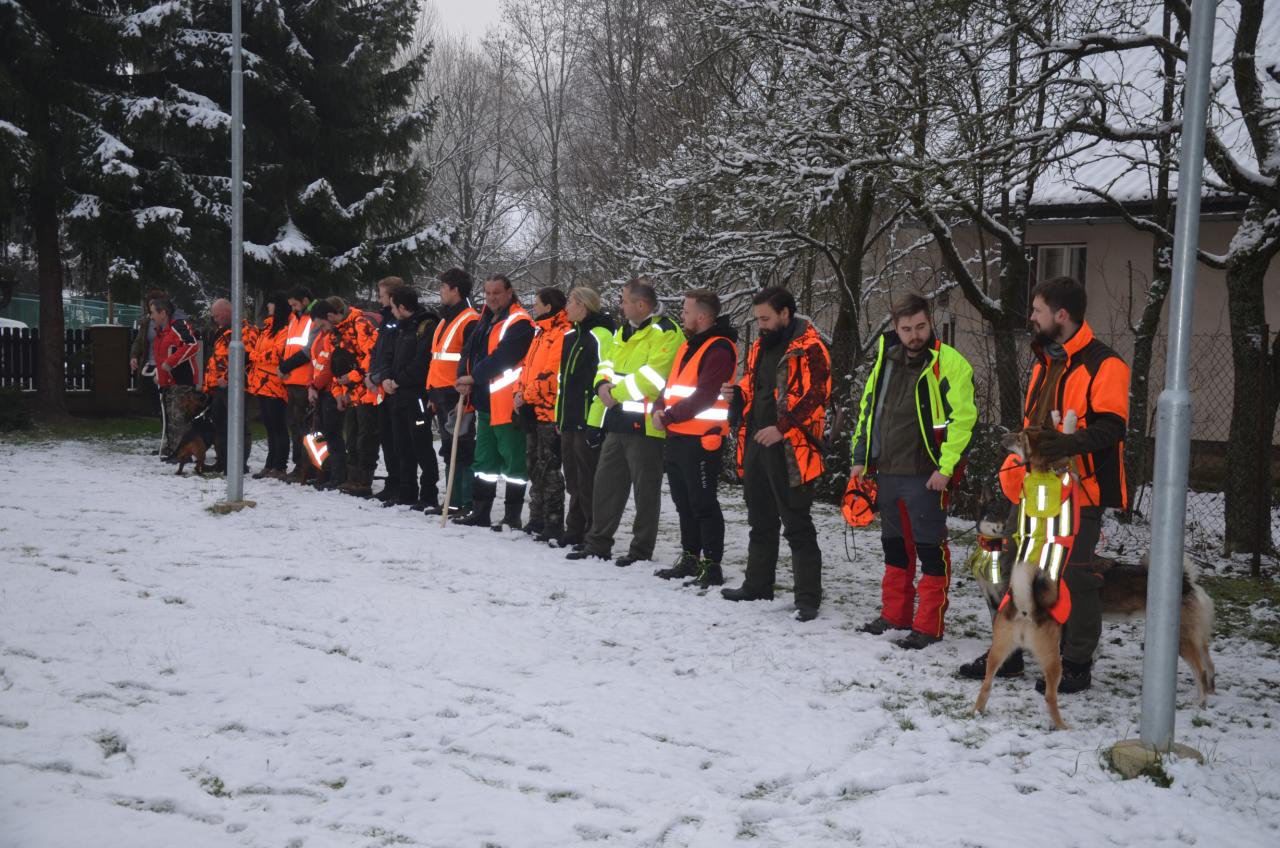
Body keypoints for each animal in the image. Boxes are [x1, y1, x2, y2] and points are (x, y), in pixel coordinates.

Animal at [972, 418, 1216, 729]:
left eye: (1020, 436)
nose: (1002, 438)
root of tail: (1186, 582)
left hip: (1186, 638)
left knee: (1203, 668)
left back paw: (1201, 700)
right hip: (1190, 637)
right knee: (1206, 667)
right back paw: (1204, 699)